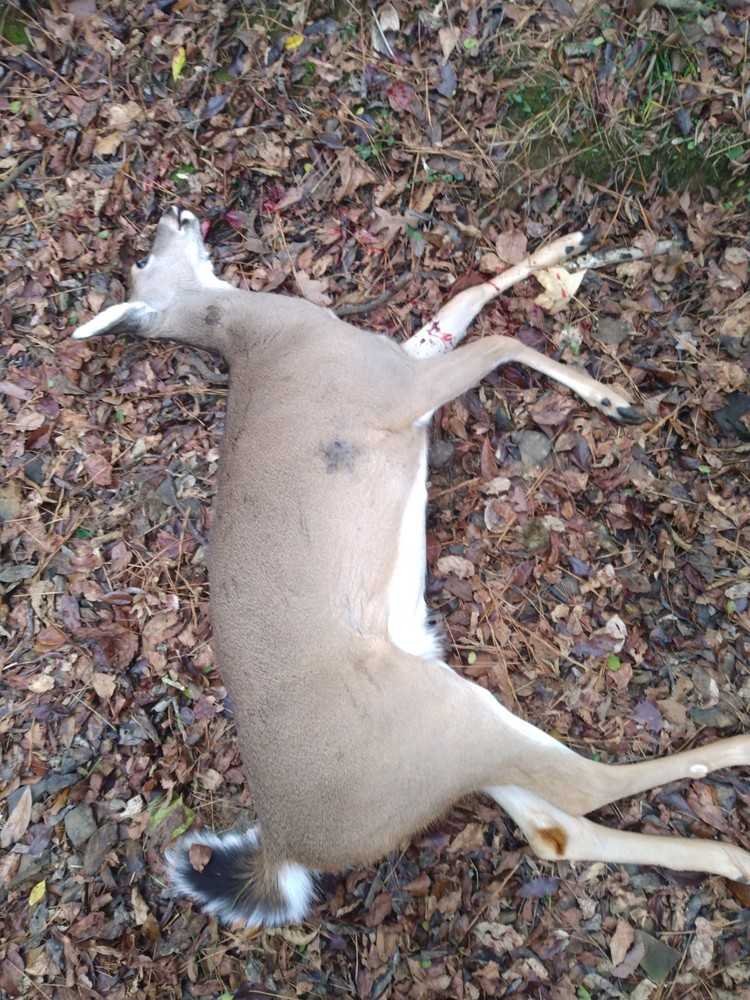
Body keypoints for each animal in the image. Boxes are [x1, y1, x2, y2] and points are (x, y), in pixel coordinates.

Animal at [72, 207, 750, 929]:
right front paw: (612, 395)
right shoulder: (399, 388)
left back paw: (730, 859)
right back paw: (739, 770)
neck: (271, 335)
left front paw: (572, 244)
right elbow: (501, 338)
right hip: (442, 720)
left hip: (444, 740)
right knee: (584, 788)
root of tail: (284, 846)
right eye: (142, 262)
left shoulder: (403, 356)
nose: (175, 212)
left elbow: (467, 298)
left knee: (553, 828)